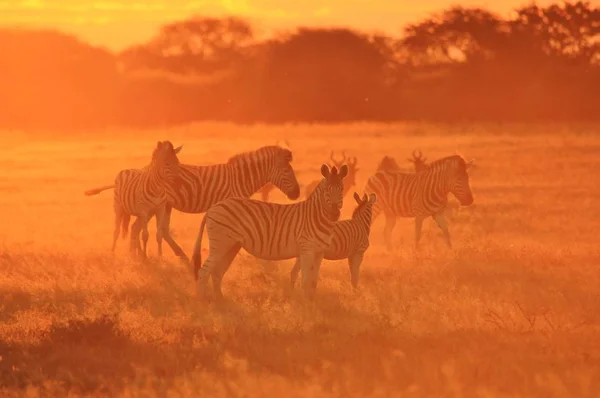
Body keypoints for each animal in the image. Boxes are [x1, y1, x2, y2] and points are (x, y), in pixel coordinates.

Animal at [126, 145, 300, 262]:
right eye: (287, 171)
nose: (297, 194)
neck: (240, 178)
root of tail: (146, 169)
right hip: (153, 207)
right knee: (138, 228)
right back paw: (141, 257)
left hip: (163, 206)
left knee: (147, 229)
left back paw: (142, 257)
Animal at [192, 164, 350, 298]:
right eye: (327, 190)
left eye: (342, 189)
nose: (335, 214)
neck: (316, 216)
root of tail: (213, 207)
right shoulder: (307, 250)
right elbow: (305, 282)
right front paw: (306, 307)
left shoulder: (319, 252)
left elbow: (313, 282)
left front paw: (312, 303)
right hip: (221, 244)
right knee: (204, 271)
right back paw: (203, 301)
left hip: (232, 245)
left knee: (217, 272)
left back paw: (221, 301)